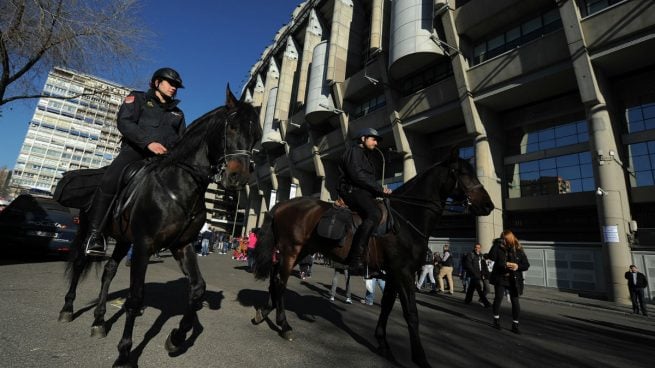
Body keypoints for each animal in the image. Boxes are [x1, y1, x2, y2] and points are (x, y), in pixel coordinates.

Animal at [56, 86, 262, 368]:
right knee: (79, 263)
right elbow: (135, 298)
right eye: (231, 126)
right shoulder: (144, 246)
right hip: (91, 231)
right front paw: (124, 353)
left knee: (109, 271)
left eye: (257, 135)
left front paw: (176, 337)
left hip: (123, 240)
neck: (180, 185)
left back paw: (99, 320)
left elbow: (197, 289)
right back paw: (67, 308)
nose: (238, 177)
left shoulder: (182, 246)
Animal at [251, 150, 492, 368]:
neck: (405, 220)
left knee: (275, 279)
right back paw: (284, 326)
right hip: (291, 250)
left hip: (298, 251)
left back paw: (263, 312)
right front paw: (420, 358)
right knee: (280, 282)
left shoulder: (394, 274)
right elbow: (411, 314)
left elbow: (386, 306)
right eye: (463, 173)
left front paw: (383, 343)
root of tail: (282, 205)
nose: (489, 205)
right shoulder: (404, 273)